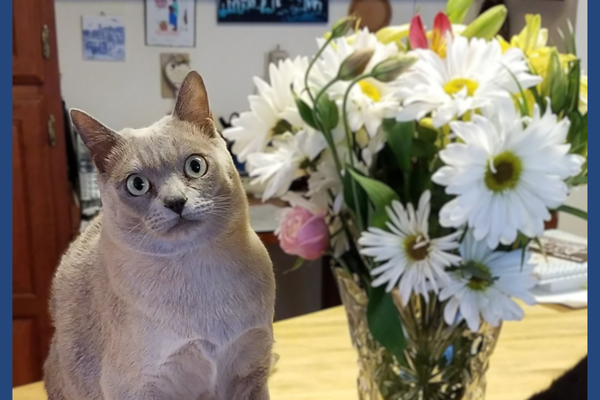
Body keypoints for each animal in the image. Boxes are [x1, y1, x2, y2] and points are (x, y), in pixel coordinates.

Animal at [43, 72, 276, 400]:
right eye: (137, 184)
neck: (198, 272)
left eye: (195, 166)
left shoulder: (252, 373)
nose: (176, 202)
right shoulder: (139, 388)